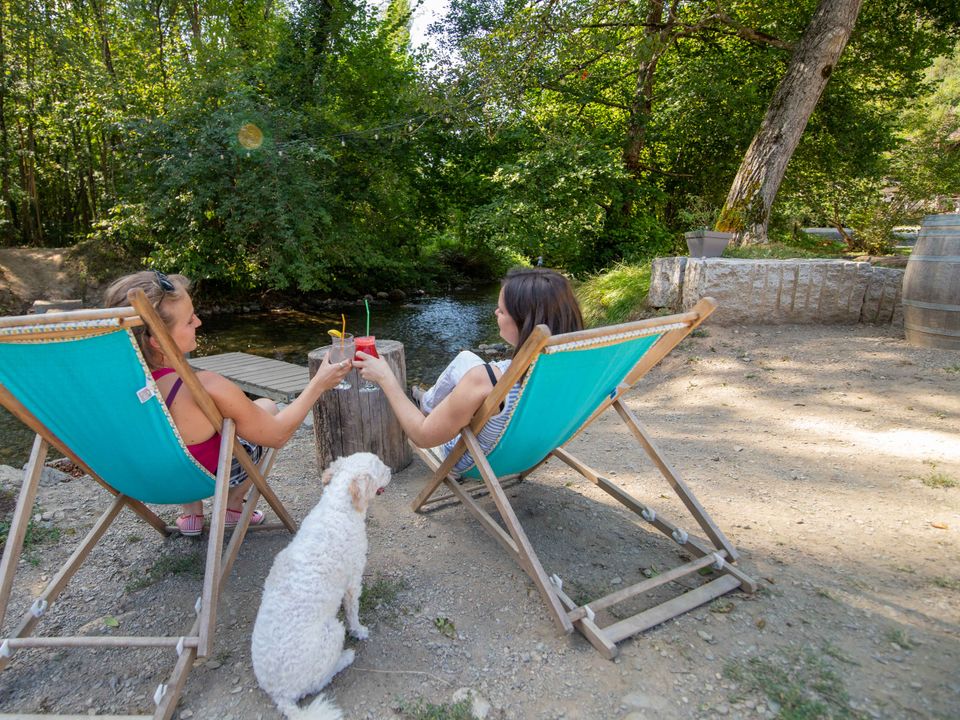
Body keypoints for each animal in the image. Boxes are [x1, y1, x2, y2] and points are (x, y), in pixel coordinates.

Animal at [253, 452, 396, 716]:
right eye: (380, 468)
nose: (391, 470)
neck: (338, 506)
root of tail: (280, 695)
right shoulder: (353, 581)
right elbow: (352, 613)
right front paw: (359, 631)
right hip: (333, 631)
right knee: (322, 679)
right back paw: (346, 657)